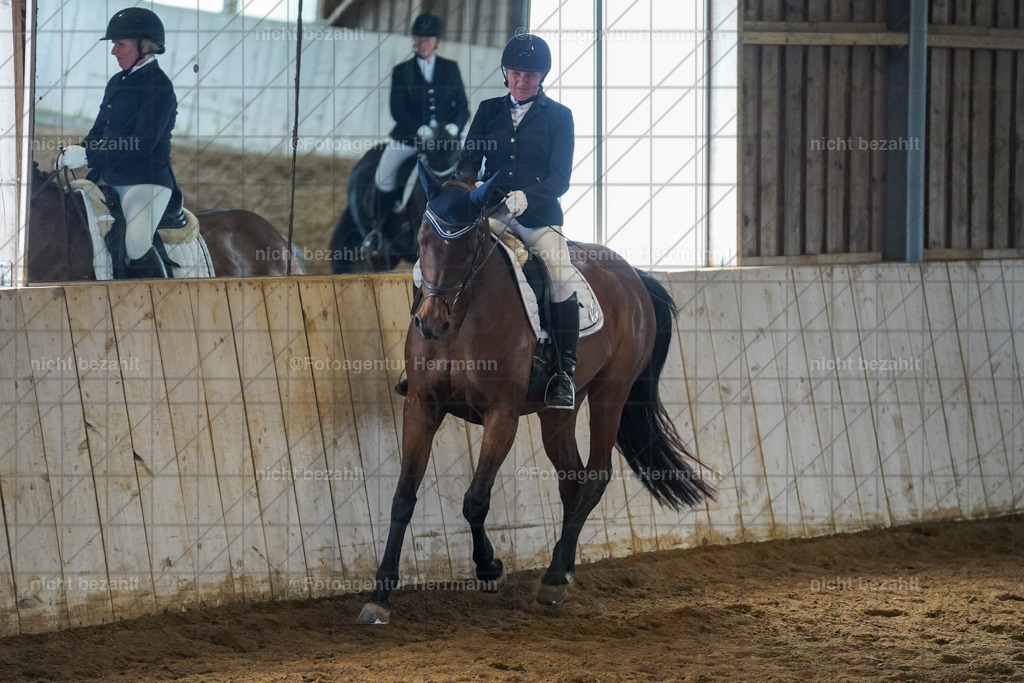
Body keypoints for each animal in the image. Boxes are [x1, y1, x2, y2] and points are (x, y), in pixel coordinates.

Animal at [356, 164, 716, 624]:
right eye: (422, 239)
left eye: (469, 244)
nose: (431, 323)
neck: (463, 320)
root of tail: (633, 275)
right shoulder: (422, 406)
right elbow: (403, 497)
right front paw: (379, 596)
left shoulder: (502, 415)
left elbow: (475, 500)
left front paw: (489, 568)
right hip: (556, 411)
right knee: (572, 479)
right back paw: (564, 567)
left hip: (611, 392)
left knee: (595, 476)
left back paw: (554, 579)